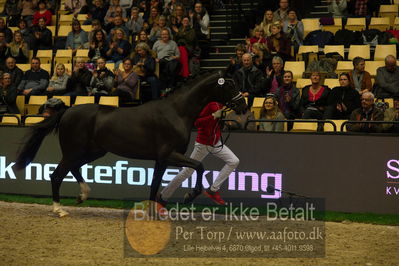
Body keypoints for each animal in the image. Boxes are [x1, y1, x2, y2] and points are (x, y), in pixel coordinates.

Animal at [14, 72, 247, 216]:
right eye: (231, 84)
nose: (243, 106)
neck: (176, 112)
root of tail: (66, 111)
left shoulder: (163, 159)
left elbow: (156, 184)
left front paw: (154, 210)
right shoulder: (168, 155)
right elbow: (199, 166)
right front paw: (189, 195)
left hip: (92, 151)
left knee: (72, 169)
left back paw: (82, 195)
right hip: (74, 151)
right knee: (57, 175)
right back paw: (59, 209)